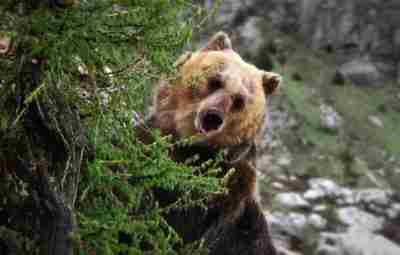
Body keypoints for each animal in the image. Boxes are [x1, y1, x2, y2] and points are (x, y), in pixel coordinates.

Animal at [138, 31, 282, 255]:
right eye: (216, 80)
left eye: (240, 100)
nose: (215, 115)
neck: (193, 149)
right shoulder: (153, 142)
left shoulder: (228, 197)